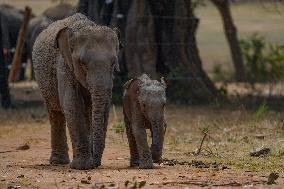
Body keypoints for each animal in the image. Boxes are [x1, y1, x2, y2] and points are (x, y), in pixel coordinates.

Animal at [33, 13, 120, 170]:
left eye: (113, 63)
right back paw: (58, 162)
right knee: (55, 112)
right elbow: (72, 104)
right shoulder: (64, 64)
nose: (95, 164)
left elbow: (104, 107)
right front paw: (82, 166)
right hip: (44, 83)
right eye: (82, 63)